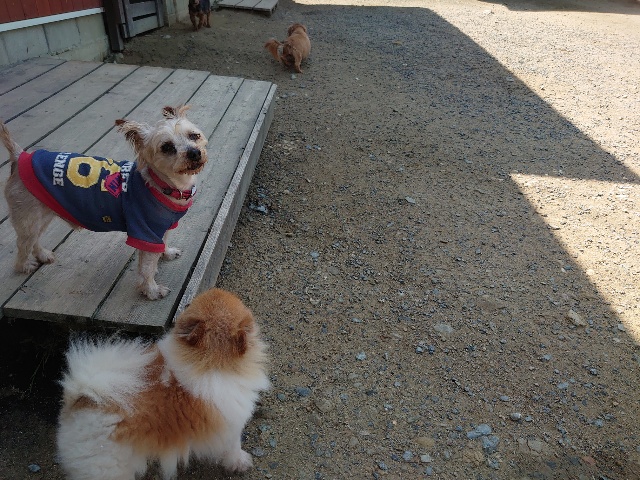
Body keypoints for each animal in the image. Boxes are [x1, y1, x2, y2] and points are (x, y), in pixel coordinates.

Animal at [0, 105, 208, 300]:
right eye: (167, 147)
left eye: (194, 135)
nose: (194, 153)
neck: (167, 185)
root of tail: (20, 156)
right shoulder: (145, 231)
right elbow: (147, 267)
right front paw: (151, 290)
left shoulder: (161, 226)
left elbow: (162, 243)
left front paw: (166, 253)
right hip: (28, 217)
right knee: (23, 245)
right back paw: (25, 265)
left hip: (42, 215)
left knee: (33, 239)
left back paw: (43, 254)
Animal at [57, 288, 269, 479]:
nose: (186, 303)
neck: (212, 362)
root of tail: (81, 398)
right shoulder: (232, 427)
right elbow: (234, 448)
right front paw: (240, 462)